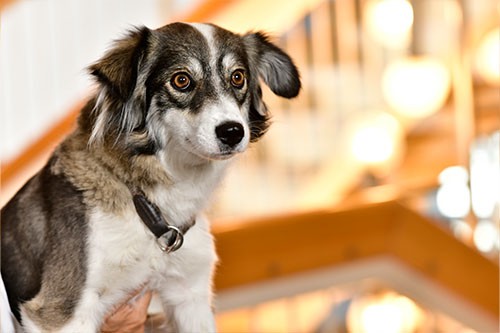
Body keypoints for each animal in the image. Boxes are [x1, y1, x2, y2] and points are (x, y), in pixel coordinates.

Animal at [0, 22, 300, 330]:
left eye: (238, 77)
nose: (232, 132)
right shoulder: (59, 311)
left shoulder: (190, 294)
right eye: (181, 80)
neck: (145, 201)